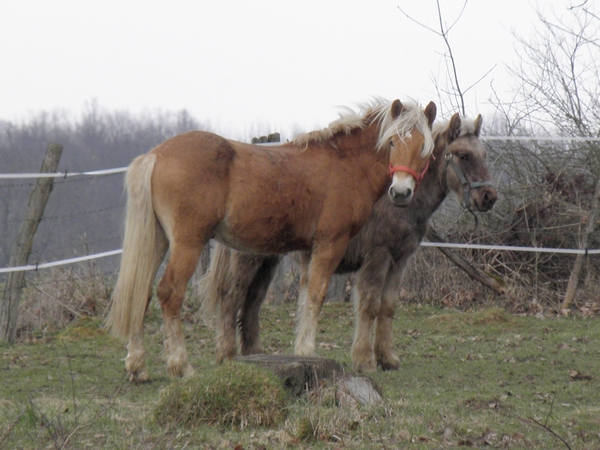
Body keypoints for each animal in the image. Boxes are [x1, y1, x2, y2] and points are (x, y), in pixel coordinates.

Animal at [108, 97, 436, 380]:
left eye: (424, 147)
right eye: (393, 142)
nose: (401, 192)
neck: (346, 161)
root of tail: (156, 154)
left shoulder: (308, 252)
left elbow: (304, 299)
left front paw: (302, 351)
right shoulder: (330, 244)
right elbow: (316, 297)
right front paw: (308, 352)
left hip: (158, 242)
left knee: (141, 293)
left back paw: (137, 365)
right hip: (188, 244)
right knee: (169, 294)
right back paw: (181, 365)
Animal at [197, 114, 496, 370]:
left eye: (483, 155)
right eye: (464, 156)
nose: (489, 198)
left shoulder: (400, 260)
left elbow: (388, 307)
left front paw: (387, 358)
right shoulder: (378, 257)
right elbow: (369, 306)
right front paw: (364, 360)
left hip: (267, 261)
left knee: (252, 303)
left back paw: (254, 355)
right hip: (248, 259)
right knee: (231, 300)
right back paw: (227, 356)